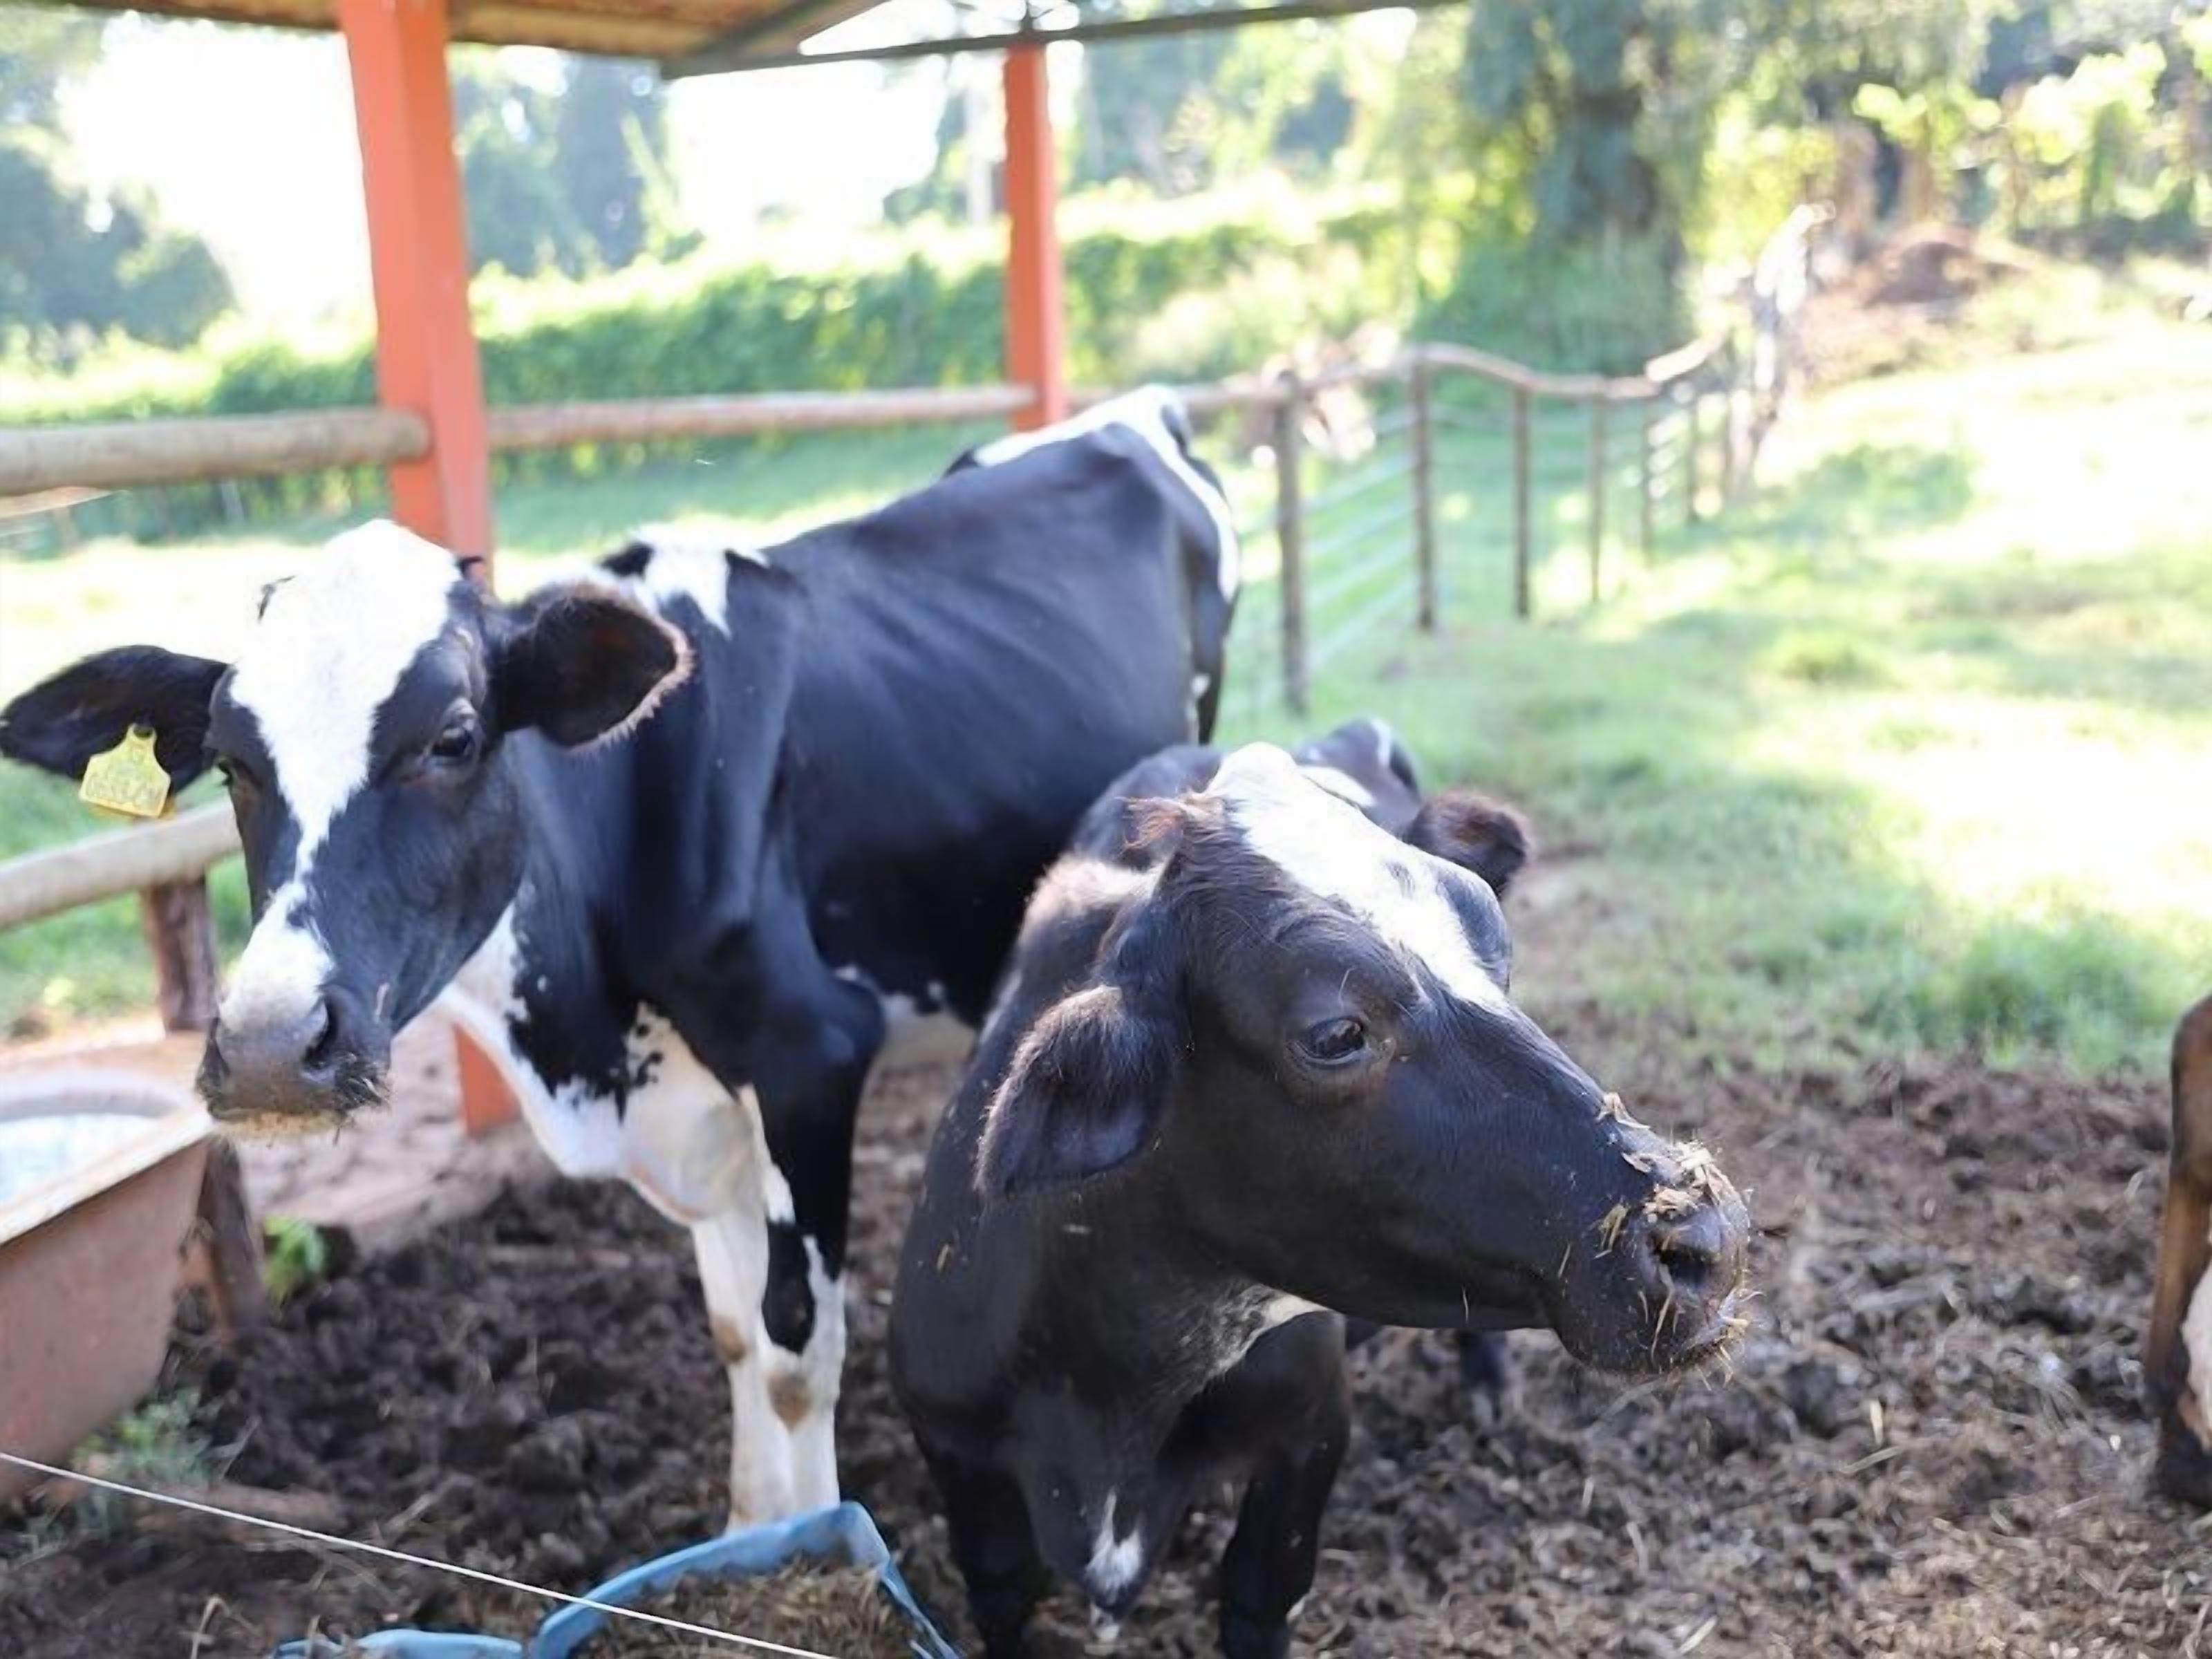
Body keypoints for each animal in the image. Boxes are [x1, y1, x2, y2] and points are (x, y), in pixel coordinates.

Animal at [0, 388, 1238, 1526]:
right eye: (228, 761)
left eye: (455, 737)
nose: (267, 1047)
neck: (581, 1033)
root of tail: (1135, 407)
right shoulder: (694, 1106)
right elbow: (735, 1331)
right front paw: (752, 1534)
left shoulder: (808, 1057)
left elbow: (795, 1344)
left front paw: (826, 1544)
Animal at [890, 741, 1753, 1658]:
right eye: (1335, 1034)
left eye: (1494, 940)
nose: (1711, 1237)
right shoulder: (962, 1477)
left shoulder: (1307, 1431)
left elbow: (1259, 1595)